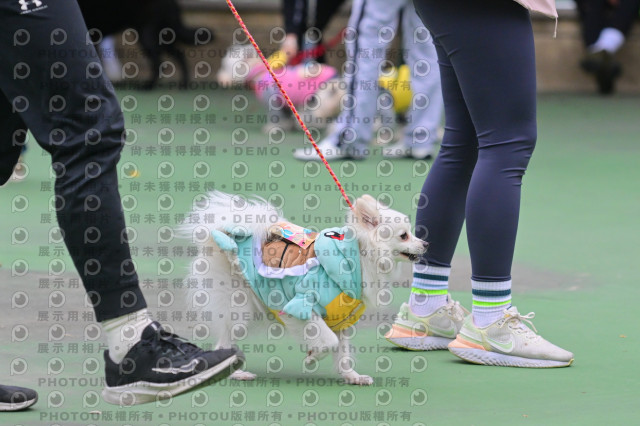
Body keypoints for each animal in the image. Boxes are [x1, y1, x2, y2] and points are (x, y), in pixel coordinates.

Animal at [181, 191, 427, 385]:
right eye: (404, 235)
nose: (426, 243)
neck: (358, 256)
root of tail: (222, 233)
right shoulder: (300, 307)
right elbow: (329, 341)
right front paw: (312, 356)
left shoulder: (340, 318)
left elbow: (343, 351)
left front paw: (352, 377)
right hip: (240, 311)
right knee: (223, 342)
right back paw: (235, 374)